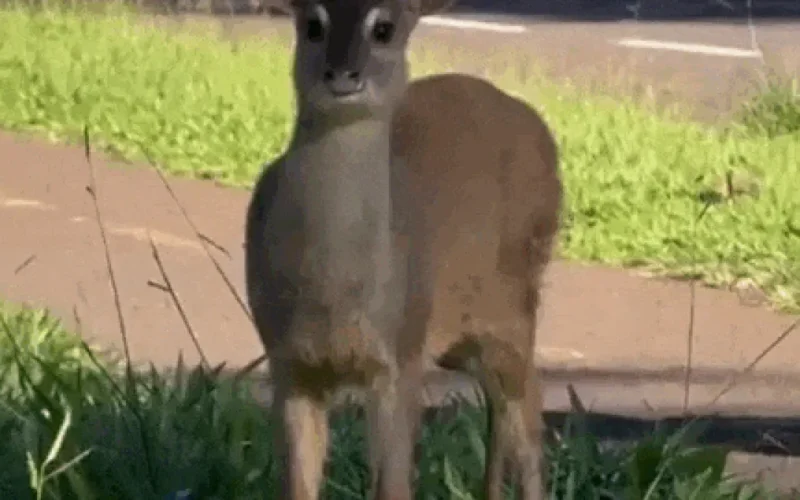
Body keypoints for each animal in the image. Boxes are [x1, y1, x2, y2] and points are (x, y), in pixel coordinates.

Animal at [244, 0, 562, 499]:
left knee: (528, 403)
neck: (335, 293)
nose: (342, 74)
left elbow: (393, 485)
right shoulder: (288, 361)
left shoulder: (401, 357)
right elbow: (298, 485)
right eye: (313, 24)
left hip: (515, 303)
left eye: (384, 28)